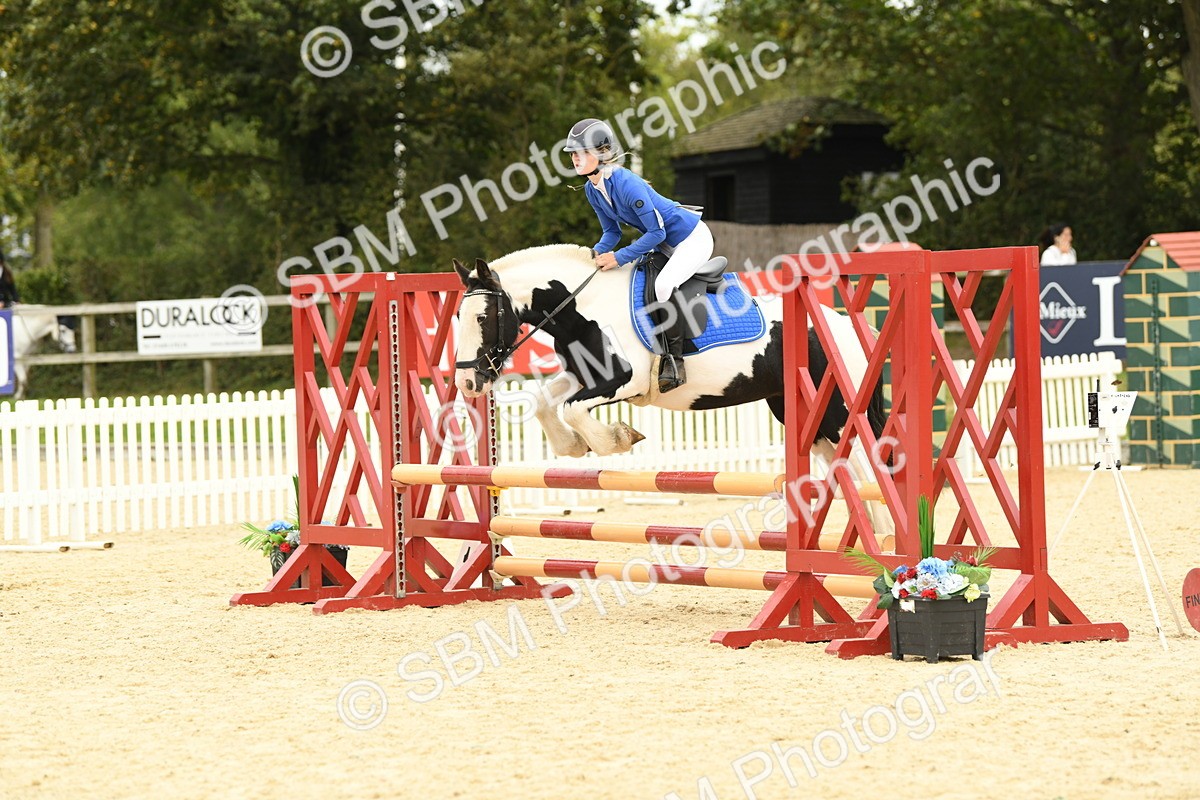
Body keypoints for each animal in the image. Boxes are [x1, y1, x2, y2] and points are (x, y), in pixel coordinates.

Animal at [451, 244, 892, 530]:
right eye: (458, 316)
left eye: (484, 317)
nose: (467, 382)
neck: (582, 307)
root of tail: (854, 329)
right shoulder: (586, 376)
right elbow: (545, 401)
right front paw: (574, 447)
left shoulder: (622, 381)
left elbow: (574, 410)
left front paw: (619, 437)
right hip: (803, 416)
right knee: (846, 472)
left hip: (838, 414)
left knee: (867, 468)